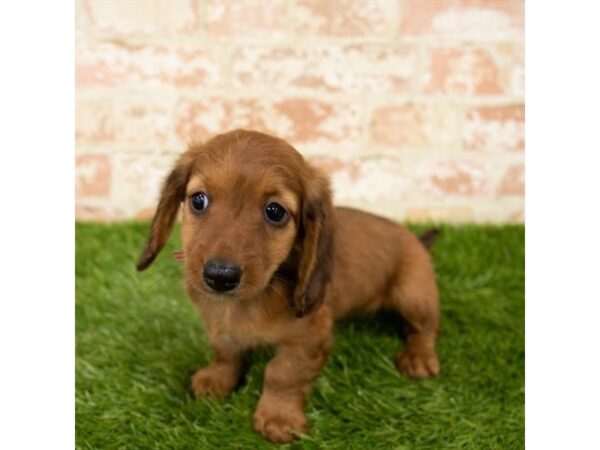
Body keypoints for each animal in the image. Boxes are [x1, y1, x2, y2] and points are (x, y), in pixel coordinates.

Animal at [137, 128, 440, 442]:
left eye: (275, 211)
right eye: (198, 200)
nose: (220, 276)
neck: (248, 303)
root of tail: (416, 239)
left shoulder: (309, 337)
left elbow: (282, 374)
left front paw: (278, 416)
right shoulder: (219, 325)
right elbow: (226, 352)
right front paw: (217, 379)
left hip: (414, 296)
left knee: (425, 329)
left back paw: (418, 356)